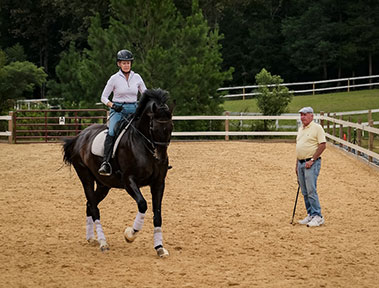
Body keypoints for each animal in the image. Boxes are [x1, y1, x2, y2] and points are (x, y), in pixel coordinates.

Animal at [62, 88, 175, 256]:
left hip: (103, 185)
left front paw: (159, 248)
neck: (143, 145)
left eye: (171, 127)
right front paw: (130, 235)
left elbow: (158, 213)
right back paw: (103, 243)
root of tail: (79, 136)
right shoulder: (129, 181)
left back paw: (91, 238)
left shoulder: (158, 183)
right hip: (86, 177)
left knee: (90, 204)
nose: (160, 158)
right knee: (94, 208)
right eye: (153, 128)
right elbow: (142, 205)